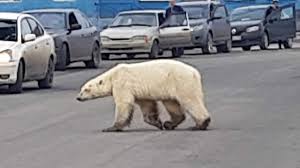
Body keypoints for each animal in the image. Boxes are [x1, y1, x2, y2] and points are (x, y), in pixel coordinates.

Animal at [77, 59, 211, 132]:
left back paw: (200, 124)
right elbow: (147, 105)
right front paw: (157, 123)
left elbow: (123, 103)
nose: (78, 97)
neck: (112, 76)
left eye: (86, 89)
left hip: (182, 82)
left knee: (190, 101)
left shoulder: (122, 83)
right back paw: (169, 124)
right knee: (171, 103)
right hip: (170, 87)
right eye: (81, 89)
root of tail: (195, 72)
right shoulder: (140, 92)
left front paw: (112, 128)